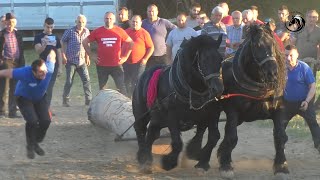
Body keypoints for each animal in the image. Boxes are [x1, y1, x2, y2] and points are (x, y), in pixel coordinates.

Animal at [131, 34, 224, 172]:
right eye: (204, 60)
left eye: (220, 59)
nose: (218, 89)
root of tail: (142, 76)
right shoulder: (172, 118)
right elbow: (177, 142)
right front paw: (169, 162)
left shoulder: (210, 114)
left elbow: (213, 137)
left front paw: (200, 160)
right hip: (143, 114)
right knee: (140, 130)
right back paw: (143, 158)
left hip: (158, 119)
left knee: (152, 133)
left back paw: (147, 158)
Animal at [185, 24, 288, 178]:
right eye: (257, 45)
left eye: (273, 44)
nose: (273, 73)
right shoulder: (233, 111)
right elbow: (232, 137)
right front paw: (226, 165)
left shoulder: (278, 110)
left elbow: (280, 135)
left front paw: (281, 167)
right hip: (212, 110)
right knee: (207, 132)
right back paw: (201, 160)